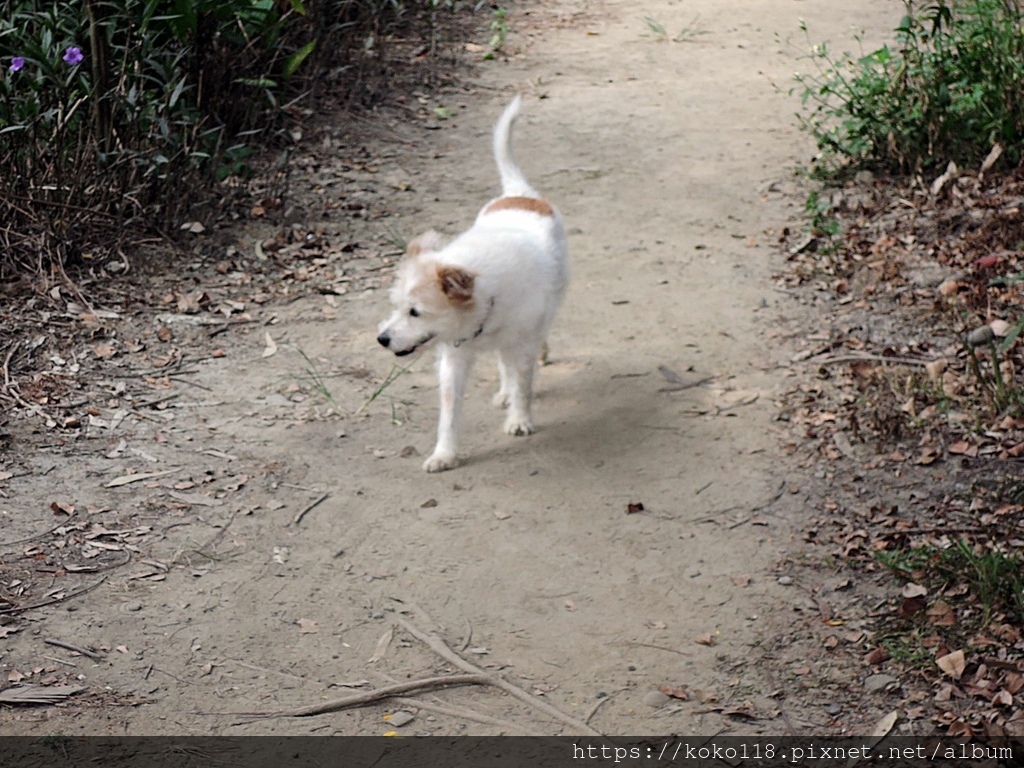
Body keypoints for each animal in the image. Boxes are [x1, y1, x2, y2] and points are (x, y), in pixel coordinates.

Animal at [376, 93, 569, 473]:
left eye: (415, 312)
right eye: (396, 307)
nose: (382, 339)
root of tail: (520, 193)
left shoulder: (521, 344)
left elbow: (524, 384)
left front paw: (519, 420)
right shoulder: (454, 361)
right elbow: (449, 414)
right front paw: (444, 454)